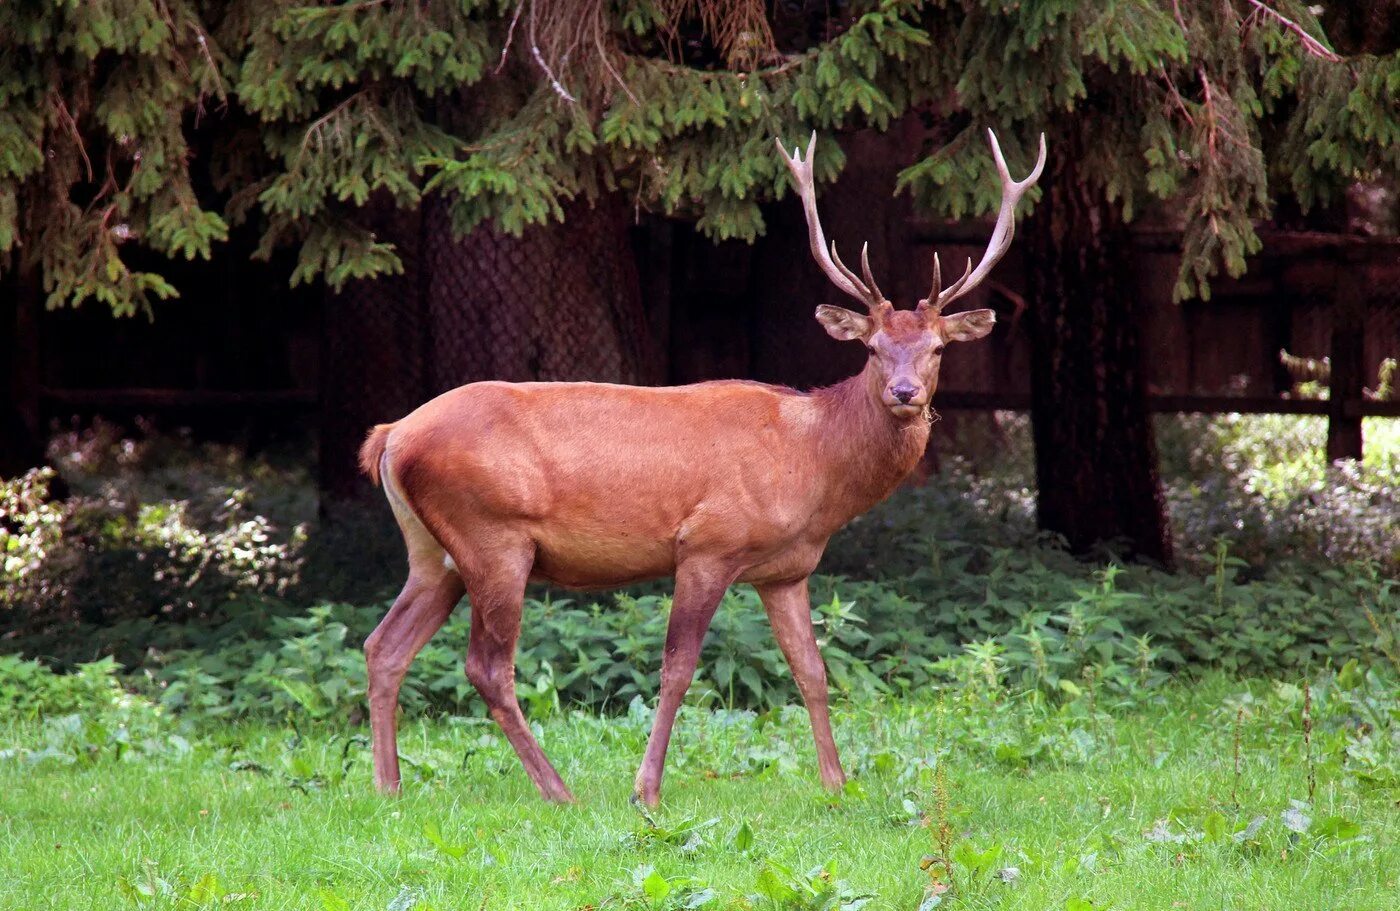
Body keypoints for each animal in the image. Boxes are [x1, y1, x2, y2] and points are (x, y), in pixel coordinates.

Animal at [355, 130, 1047, 806]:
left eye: (937, 349)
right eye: (873, 349)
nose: (904, 393)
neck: (811, 465)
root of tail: (390, 437)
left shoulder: (788, 570)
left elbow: (812, 669)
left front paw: (836, 783)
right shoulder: (708, 544)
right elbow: (679, 668)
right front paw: (647, 791)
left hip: (434, 552)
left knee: (383, 645)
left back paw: (388, 787)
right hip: (493, 537)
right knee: (487, 666)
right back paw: (558, 791)